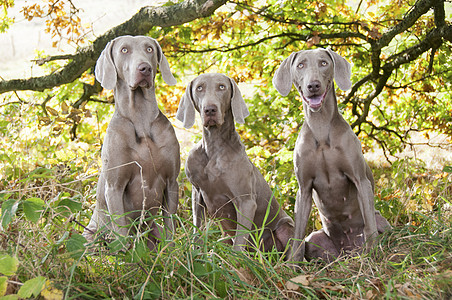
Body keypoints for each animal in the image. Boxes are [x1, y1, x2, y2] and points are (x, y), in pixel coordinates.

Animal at [83, 35, 180, 251]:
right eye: (124, 50)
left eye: (150, 49)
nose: (144, 68)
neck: (141, 120)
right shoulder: (114, 187)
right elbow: (121, 231)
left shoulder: (172, 182)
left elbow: (170, 224)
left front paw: (173, 252)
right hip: (90, 233)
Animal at [175, 73, 294, 253]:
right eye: (199, 88)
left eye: (222, 87)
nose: (210, 109)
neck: (214, 147)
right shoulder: (197, 193)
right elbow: (197, 226)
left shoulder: (245, 202)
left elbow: (239, 242)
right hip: (223, 238)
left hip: (287, 226)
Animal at [272, 48, 392, 262]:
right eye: (300, 65)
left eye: (323, 63)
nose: (313, 85)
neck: (320, 129)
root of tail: (349, 251)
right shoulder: (304, 189)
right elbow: (297, 236)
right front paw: (292, 265)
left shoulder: (360, 180)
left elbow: (369, 224)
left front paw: (374, 254)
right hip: (315, 238)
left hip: (383, 223)